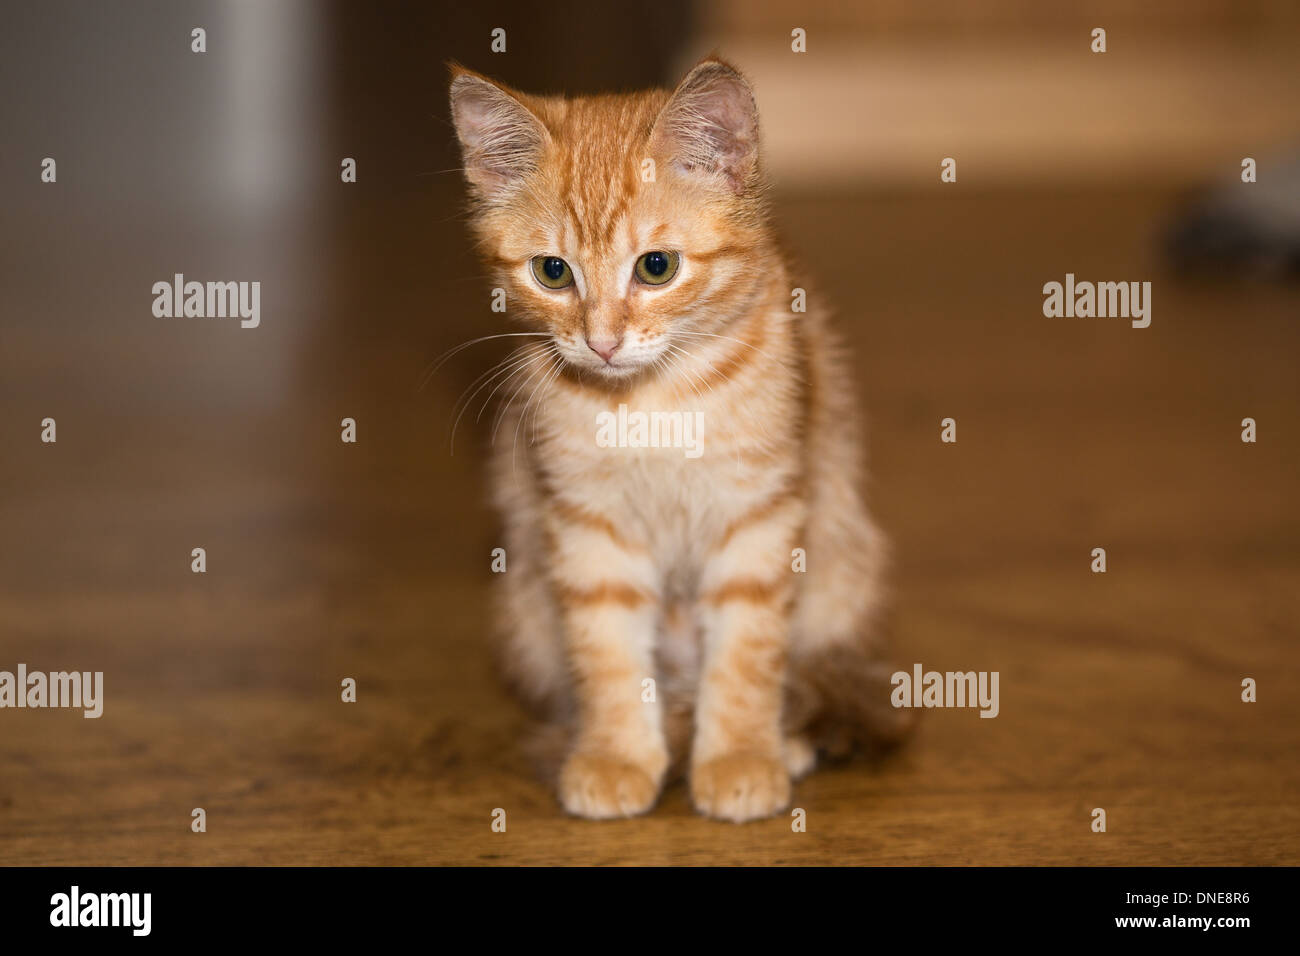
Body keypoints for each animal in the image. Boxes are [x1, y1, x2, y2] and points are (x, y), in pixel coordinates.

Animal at [447, 57, 904, 822]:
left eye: (656, 267)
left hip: (843, 570)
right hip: (525, 611)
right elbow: (607, 654)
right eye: (552, 271)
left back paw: (781, 739)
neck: (651, 403)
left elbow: (747, 654)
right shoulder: (587, 526)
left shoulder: (759, 516)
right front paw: (616, 755)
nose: (601, 343)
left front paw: (740, 756)